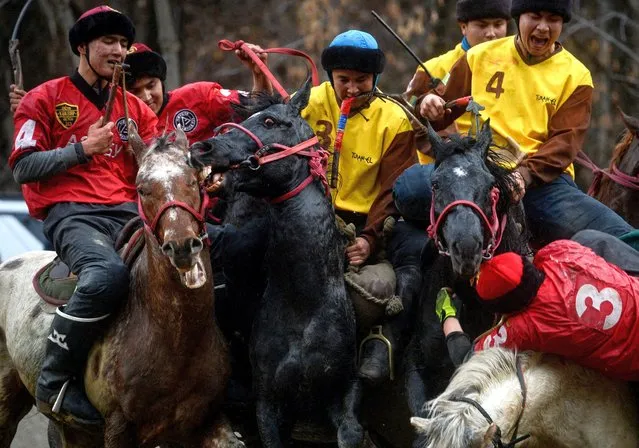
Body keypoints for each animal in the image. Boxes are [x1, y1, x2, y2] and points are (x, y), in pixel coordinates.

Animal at [0, 128, 239, 446]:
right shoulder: (117, 427)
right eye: (142, 188)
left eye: (193, 180)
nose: (182, 246)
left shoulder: (206, 422)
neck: (175, 335)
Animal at [188, 80, 362, 448]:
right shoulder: (267, 405)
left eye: (269, 121)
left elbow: (351, 430)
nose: (202, 147)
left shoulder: (345, 389)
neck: (305, 307)